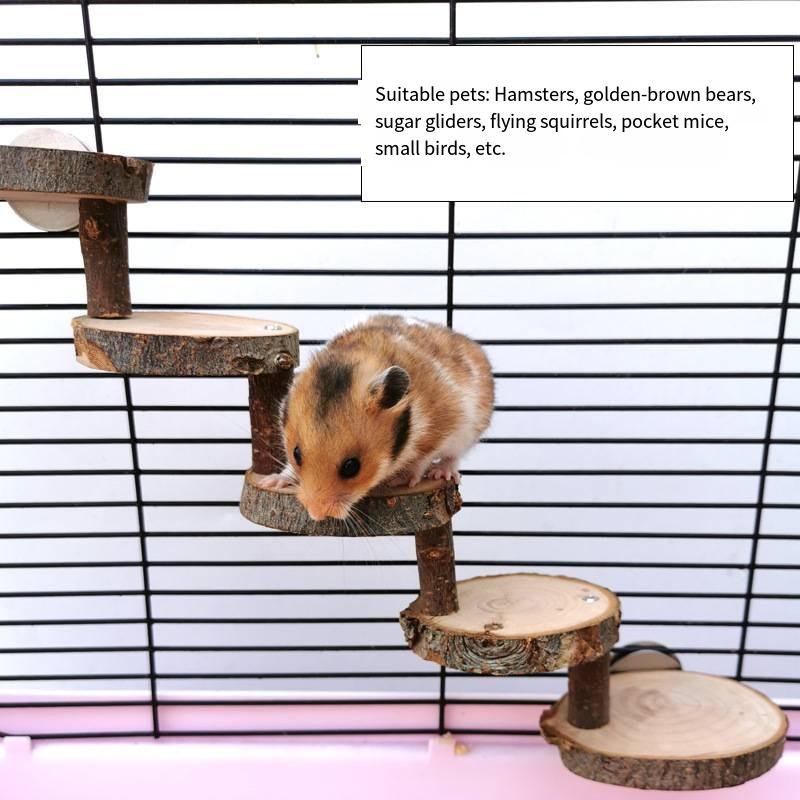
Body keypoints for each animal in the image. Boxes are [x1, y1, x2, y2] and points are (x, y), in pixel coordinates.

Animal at [254, 314, 494, 521]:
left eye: (352, 467)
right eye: (296, 454)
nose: (316, 514)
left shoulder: (442, 427)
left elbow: (422, 458)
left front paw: (401, 480)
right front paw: (273, 481)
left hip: (468, 431)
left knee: (452, 457)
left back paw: (441, 473)